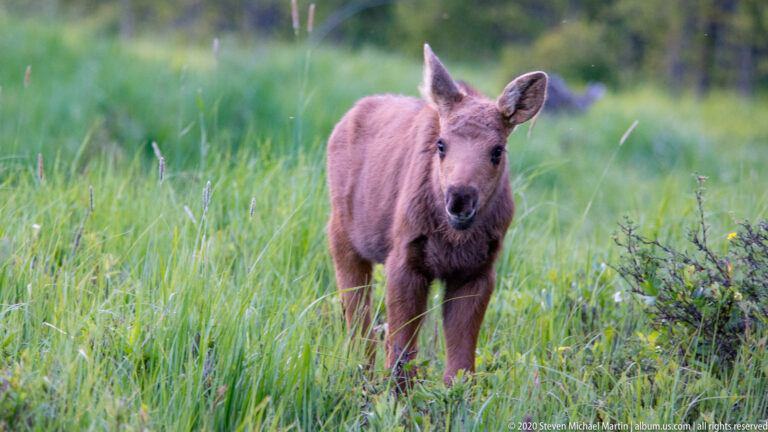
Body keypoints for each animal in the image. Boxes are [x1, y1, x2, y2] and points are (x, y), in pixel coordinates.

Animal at [326, 44, 547, 390]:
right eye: (441, 145)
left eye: (497, 150)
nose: (459, 198)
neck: (454, 238)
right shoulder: (404, 260)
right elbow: (401, 351)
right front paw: (394, 397)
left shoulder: (477, 272)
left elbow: (460, 364)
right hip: (342, 238)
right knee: (358, 319)